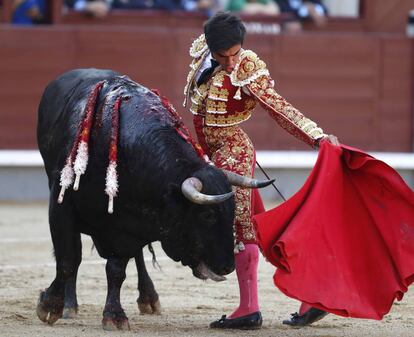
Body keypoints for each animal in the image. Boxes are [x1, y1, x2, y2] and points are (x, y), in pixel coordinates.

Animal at [36, 68, 274, 328]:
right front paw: (50, 306)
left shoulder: (128, 226)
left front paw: (114, 316)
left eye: (233, 210)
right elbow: (68, 259)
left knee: (137, 258)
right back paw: (70, 305)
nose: (228, 265)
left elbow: (116, 270)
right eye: (207, 215)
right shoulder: (62, 207)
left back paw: (148, 298)